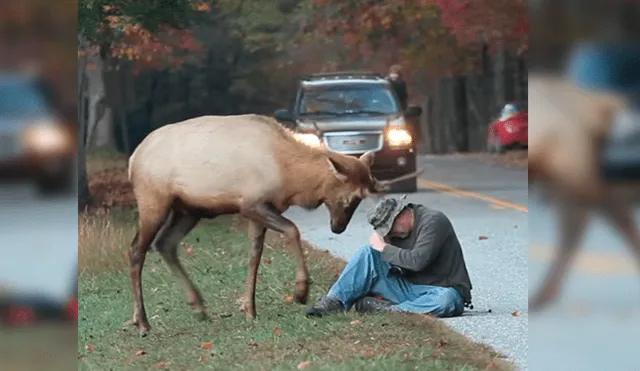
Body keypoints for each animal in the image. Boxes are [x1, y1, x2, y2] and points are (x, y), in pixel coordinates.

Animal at [125, 114, 420, 338]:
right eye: (350, 198)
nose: (337, 228)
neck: (291, 179)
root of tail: (132, 161)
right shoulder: (252, 204)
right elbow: (292, 230)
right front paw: (300, 291)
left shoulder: (259, 211)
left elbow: (255, 255)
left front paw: (249, 308)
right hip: (154, 200)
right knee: (137, 249)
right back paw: (142, 322)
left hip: (189, 209)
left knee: (165, 244)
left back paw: (197, 306)